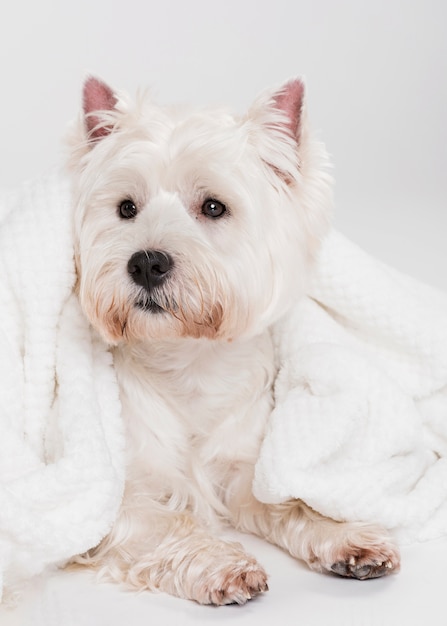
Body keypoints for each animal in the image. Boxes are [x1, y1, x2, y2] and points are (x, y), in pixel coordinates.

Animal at [68, 75, 400, 604]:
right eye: (126, 208)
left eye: (213, 207)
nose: (146, 263)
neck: (188, 363)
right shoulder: (111, 500)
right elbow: (170, 523)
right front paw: (222, 564)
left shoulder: (245, 469)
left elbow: (292, 501)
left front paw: (346, 535)